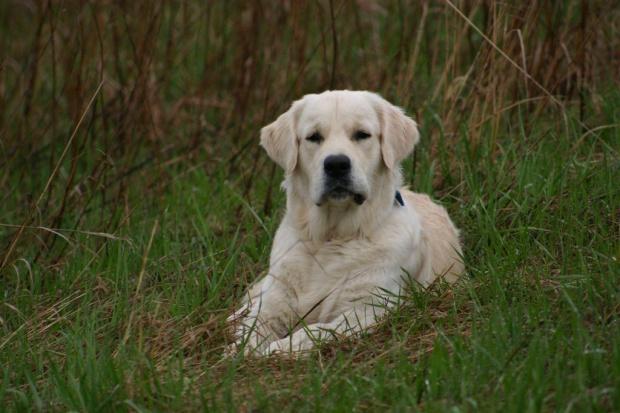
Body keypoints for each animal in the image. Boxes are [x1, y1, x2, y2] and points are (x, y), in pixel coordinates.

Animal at [226, 91, 460, 356]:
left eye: (361, 134)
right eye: (314, 137)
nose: (337, 164)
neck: (331, 237)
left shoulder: (369, 308)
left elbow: (315, 331)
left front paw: (276, 350)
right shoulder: (275, 299)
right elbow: (252, 326)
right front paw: (238, 350)